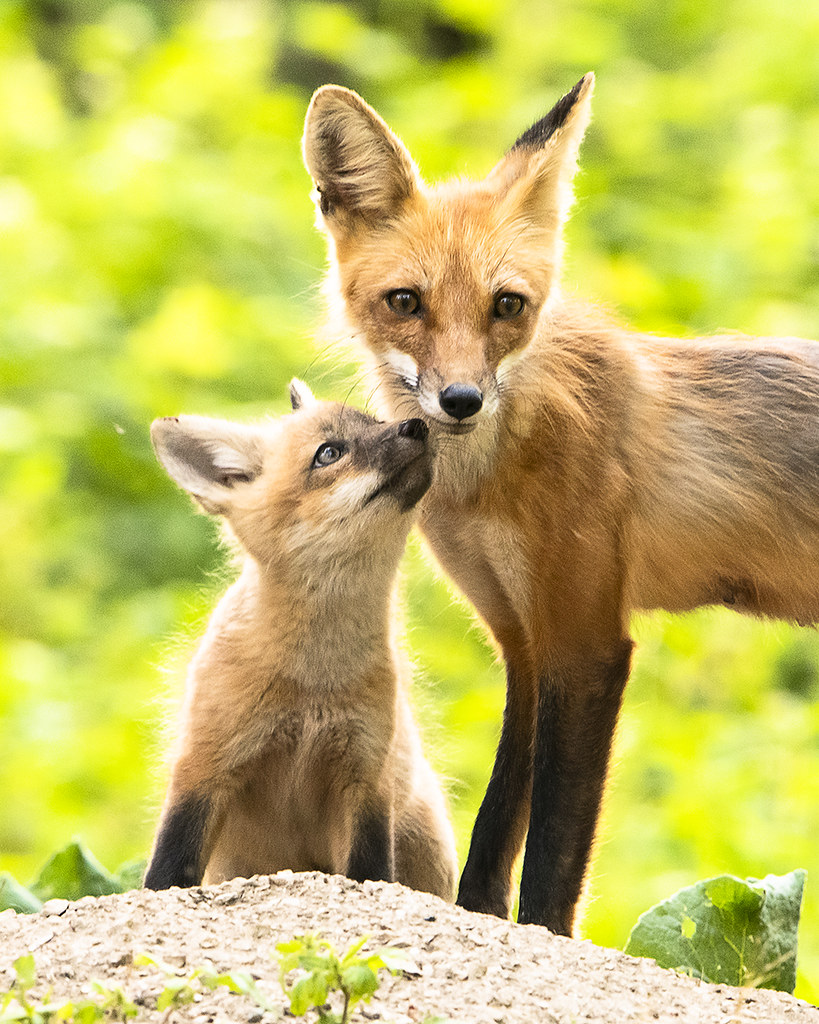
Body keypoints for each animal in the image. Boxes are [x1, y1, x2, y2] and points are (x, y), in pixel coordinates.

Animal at [143, 381, 457, 900]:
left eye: (375, 421)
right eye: (329, 453)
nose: (416, 424)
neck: (313, 683)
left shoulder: (366, 776)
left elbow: (370, 870)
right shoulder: (205, 763)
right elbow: (167, 868)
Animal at [301, 73, 819, 935]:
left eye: (507, 305)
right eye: (404, 301)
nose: (461, 400)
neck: (486, 484)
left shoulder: (588, 640)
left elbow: (551, 853)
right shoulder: (521, 638)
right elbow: (494, 828)